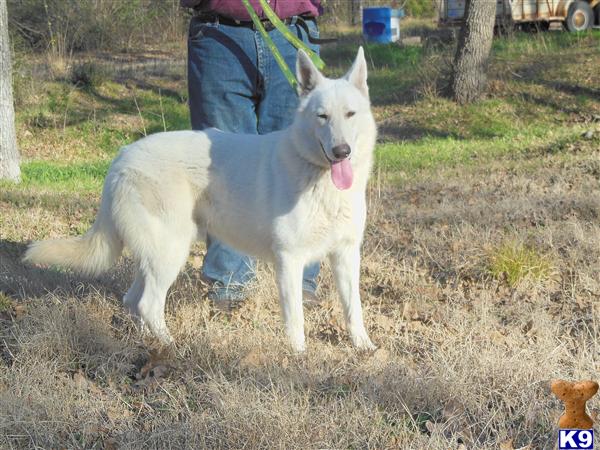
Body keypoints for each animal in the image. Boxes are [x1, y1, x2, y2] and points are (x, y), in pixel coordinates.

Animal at [27, 48, 380, 352]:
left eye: (350, 114)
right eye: (322, 117)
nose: (342, 151)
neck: (319, 178)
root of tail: (122, 156)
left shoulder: (346, 255)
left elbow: (354, 308)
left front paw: (364, 348)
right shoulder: (289, 260)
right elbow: (296, 319)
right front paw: (298, 357)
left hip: (155, 255)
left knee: (132, 301)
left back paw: (146, 342)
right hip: (171, 252)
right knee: (147, 304)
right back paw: (172, 346)